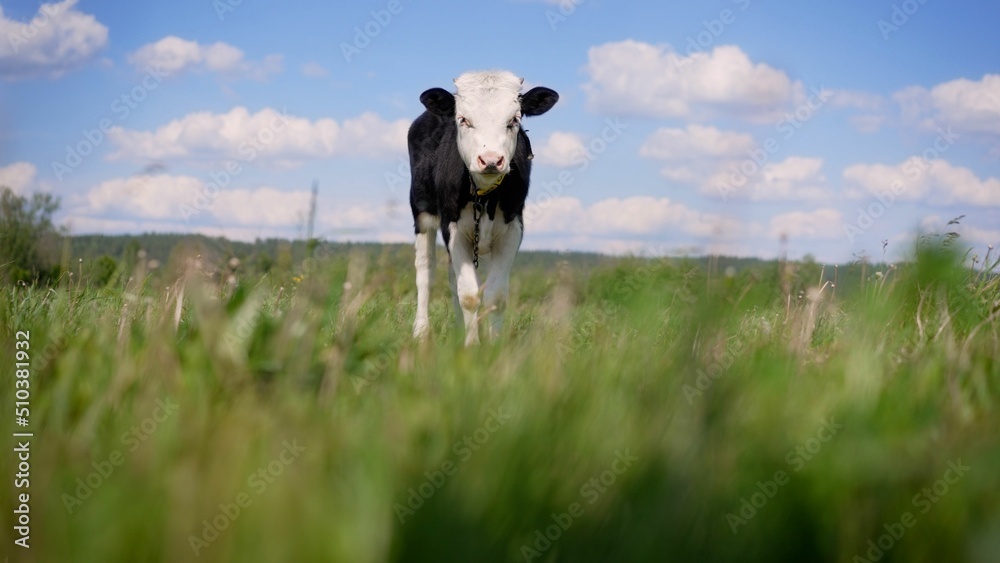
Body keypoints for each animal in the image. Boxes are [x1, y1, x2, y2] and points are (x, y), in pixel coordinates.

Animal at [408, 70, 558, 345]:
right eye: (463, 119)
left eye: (514, 120)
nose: (490, 160)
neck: (485, 195)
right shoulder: (452, 228)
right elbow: (469, 295)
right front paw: (471, 345)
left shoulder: (513, 228)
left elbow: (495, 296)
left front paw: (493, 345)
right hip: (421, 213)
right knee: (425, 272)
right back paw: (421, 332)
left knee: (452, 277)